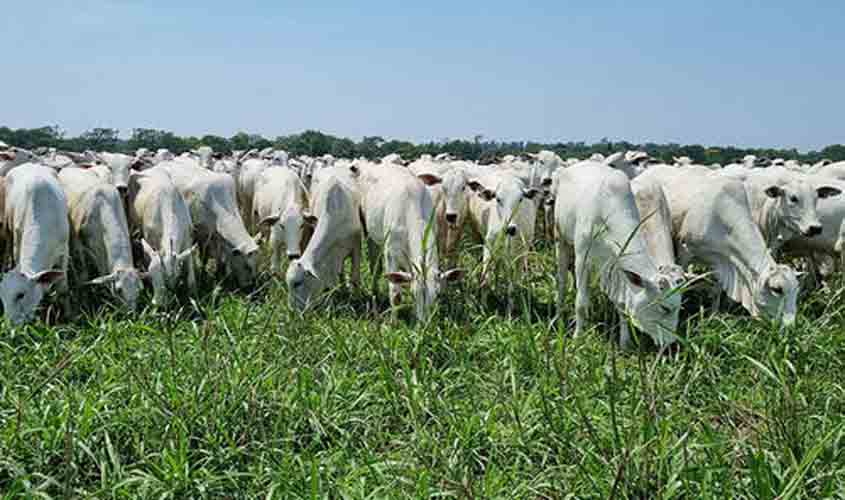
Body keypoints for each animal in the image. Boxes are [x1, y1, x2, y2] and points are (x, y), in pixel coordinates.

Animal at [0, 164, 68, 324]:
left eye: (21, 295)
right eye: (2, 298)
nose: (10, 326)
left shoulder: (64, 249)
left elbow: (62, 288)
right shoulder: (18, 241)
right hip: (8, 227)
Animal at [128, 169, 197, 304]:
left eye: (168, 277)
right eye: (151, 275)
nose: (157, 303)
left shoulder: (188, 235)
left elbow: (190, 263)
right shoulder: (149, 238)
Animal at [552, 164, 680, 348]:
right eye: (665, 308)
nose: (672, 344)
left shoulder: (617, 269)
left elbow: (621, 306)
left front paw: (625, 343)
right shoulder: (582, 259)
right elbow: (581, 303)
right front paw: (577, 338)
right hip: (560, 237)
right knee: (561, 281)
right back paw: (558, 314)